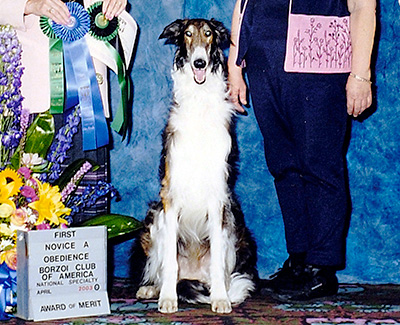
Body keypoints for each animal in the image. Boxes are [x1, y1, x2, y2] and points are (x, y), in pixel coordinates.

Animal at [136, 18, 258, 314]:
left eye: (209, 34)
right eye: (188, 34)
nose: (200, 62)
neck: (200, 102)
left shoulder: (218, 197)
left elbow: (218, 266)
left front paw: (220, 300)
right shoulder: (170, 196)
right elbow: (170, 261)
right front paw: (168, 299)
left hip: (234, 225)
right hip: (155, 218)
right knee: (161, 267)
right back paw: (151, 288)